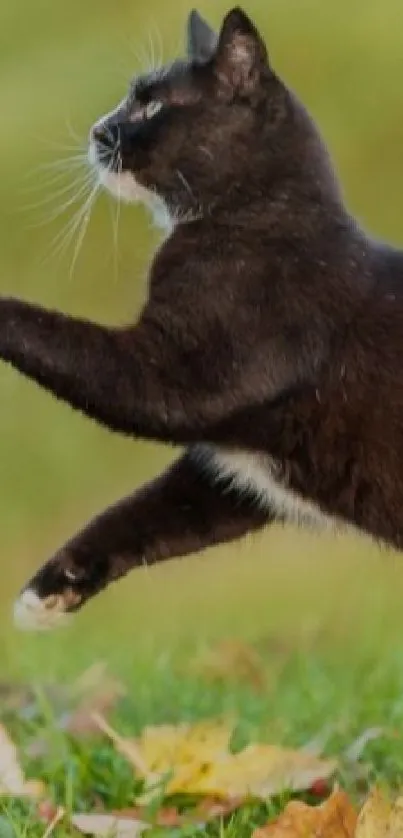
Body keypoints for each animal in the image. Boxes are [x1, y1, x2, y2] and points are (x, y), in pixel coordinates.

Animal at [11, 4, 403, 632]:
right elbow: (151, 510)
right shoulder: (238, 470)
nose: (98, 131)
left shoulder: (184, 374)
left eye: (152, 106)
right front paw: (49, 592)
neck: (255, 216)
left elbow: (61, 339)